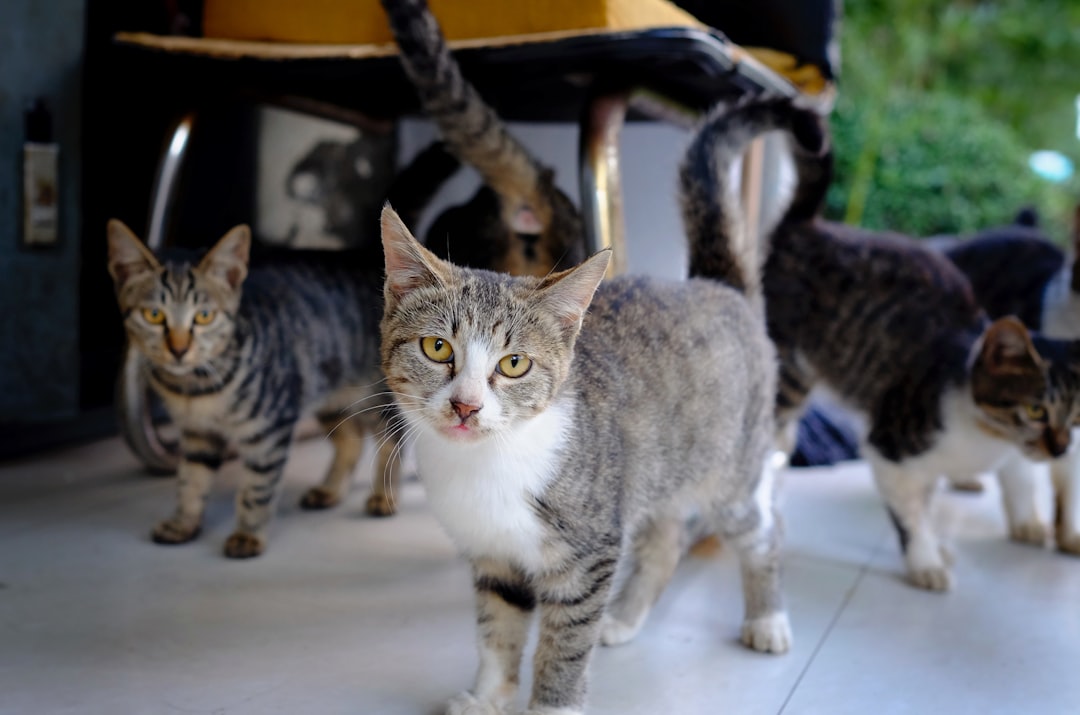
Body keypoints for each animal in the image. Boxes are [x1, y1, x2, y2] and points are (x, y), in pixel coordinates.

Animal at [375, 98, 799, 712]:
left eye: (514, 364)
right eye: (437, 348)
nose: (466, 407)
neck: (488, 464)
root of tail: (717, 287)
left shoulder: (589, 553)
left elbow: (565, 643)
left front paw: (551, 703)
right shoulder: (494, 556)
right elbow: (497, 629)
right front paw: (488, 696)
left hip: (729, 470)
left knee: (762, 525)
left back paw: (767, 618)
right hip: (654, 471)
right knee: (665, 537)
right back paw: (623, 619)